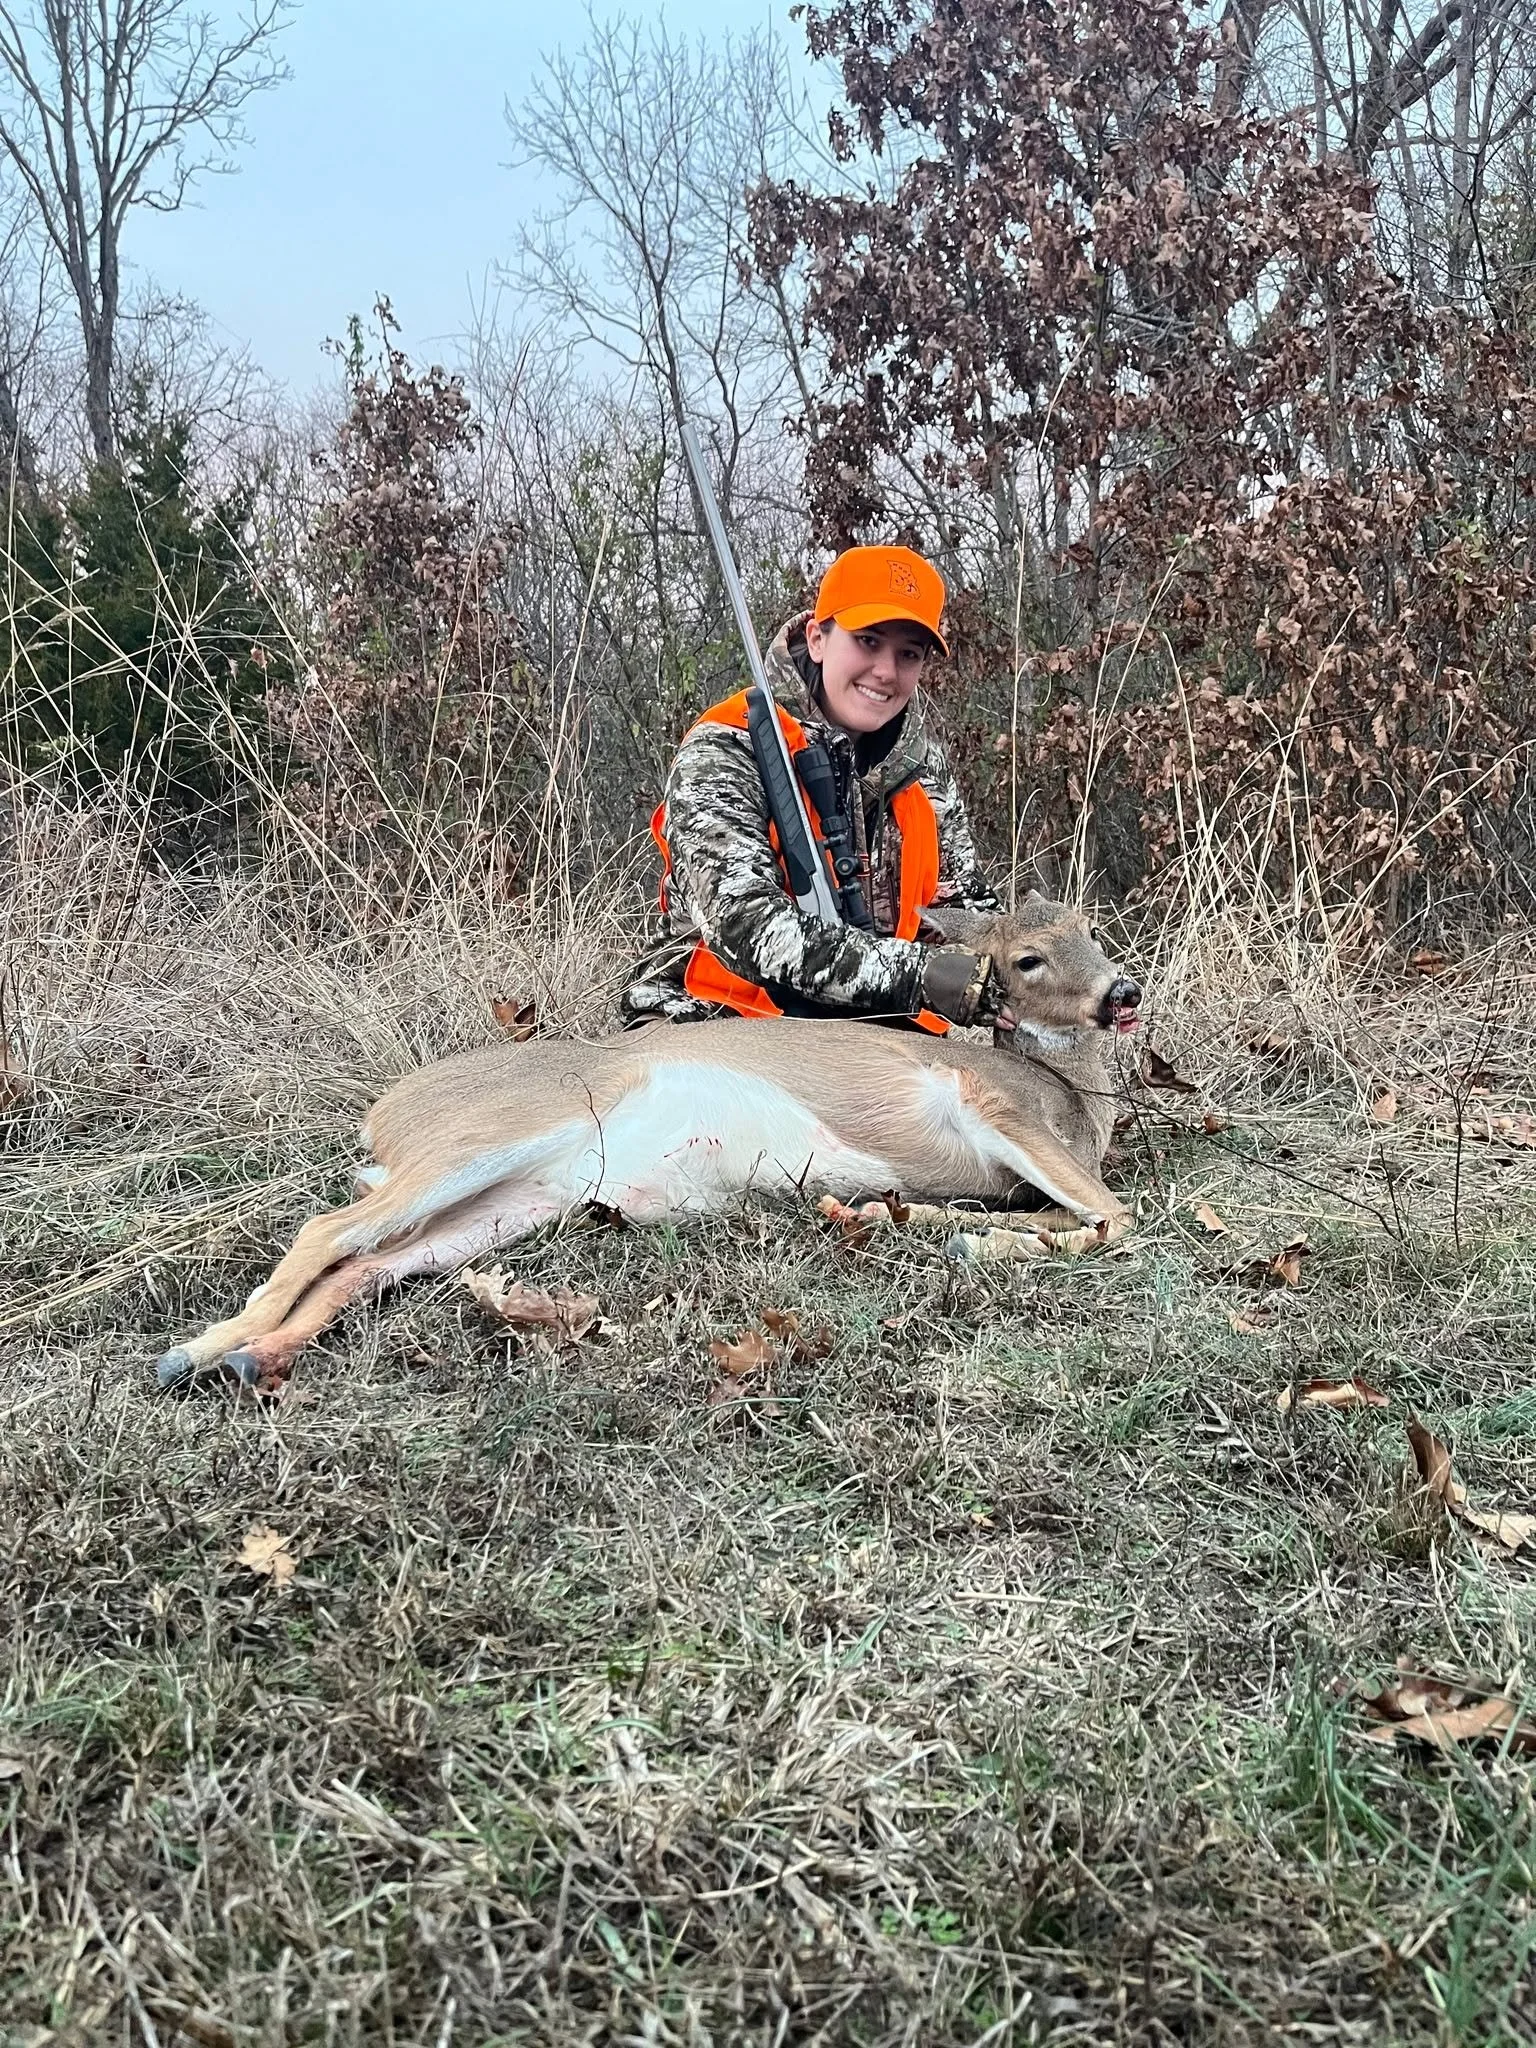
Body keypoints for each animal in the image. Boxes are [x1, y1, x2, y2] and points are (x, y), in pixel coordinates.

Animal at [155, 896, 1142, 1390]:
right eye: (1026, 959)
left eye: (1092, 932)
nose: (1124, 992)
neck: (1073, 1102)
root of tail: (383, 1114)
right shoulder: (991, 1105)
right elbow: (1116, 1217)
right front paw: (969, 1240)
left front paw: (898, 1222)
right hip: (493, 1133)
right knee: (325, 1230)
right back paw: (195, 1351)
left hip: (518, 1200)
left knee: (364, 1264)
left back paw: (248, 1358)